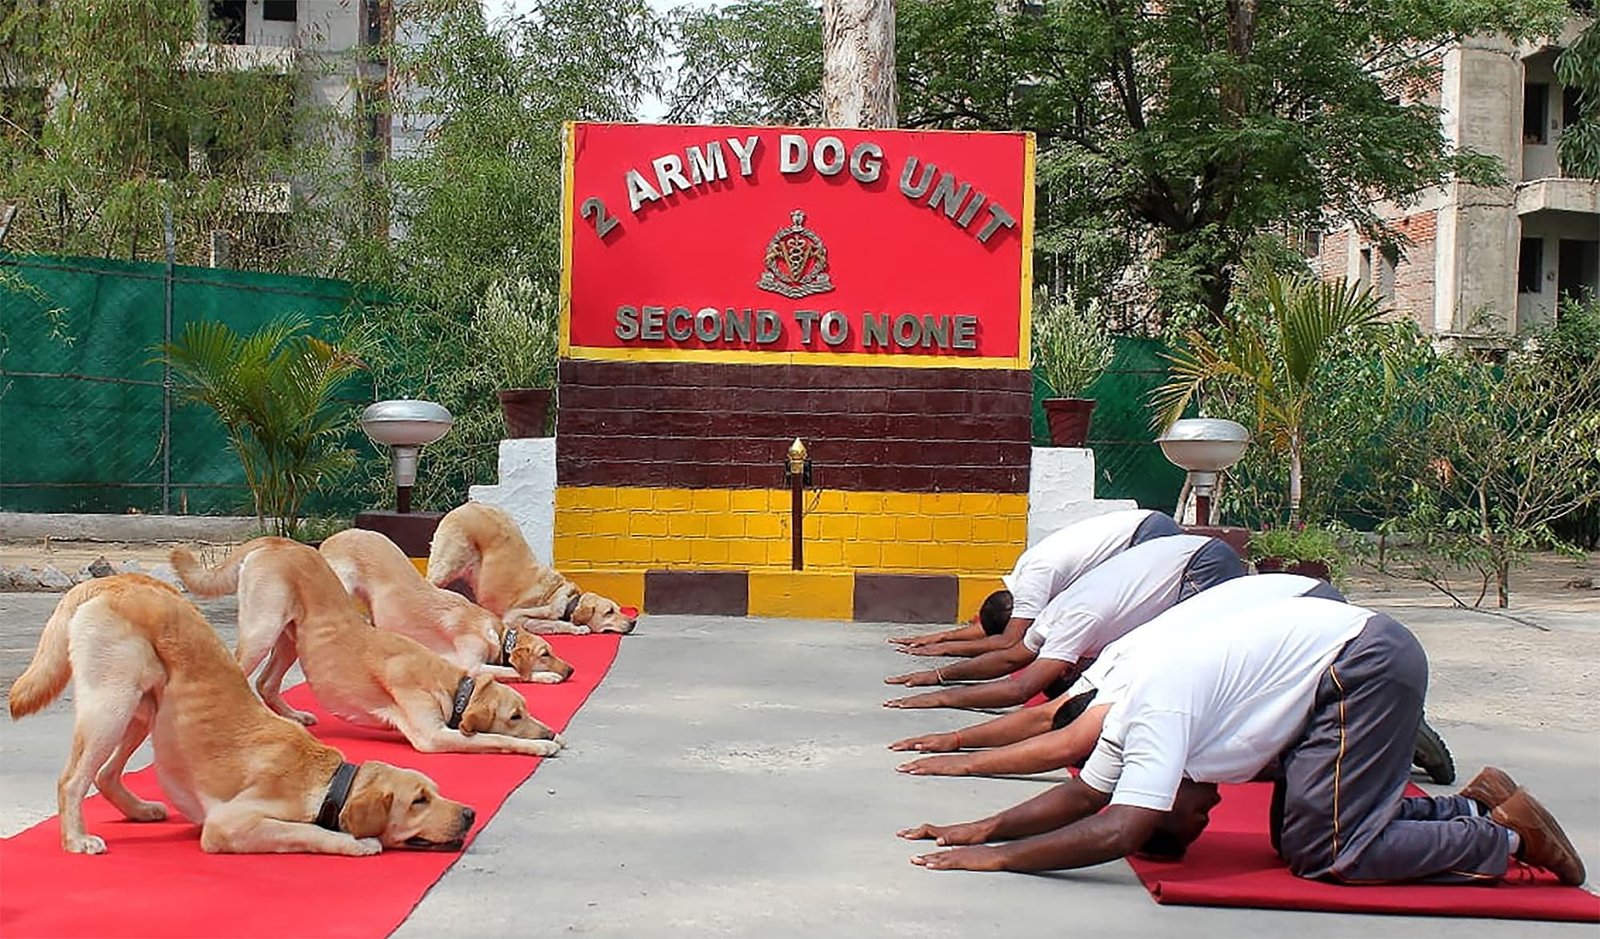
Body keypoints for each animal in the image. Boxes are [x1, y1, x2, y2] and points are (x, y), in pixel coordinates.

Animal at [6, 575, 470, 857]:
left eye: (435, 790)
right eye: (418, 800)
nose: (470, 814)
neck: (327, 784)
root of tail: (111, 580)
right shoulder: (229, 825)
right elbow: (307, 832)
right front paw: (356, 842)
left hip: (143, 709)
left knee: (103, 774)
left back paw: (137, 810)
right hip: (113, 702)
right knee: (72, 780)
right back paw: (75, 838)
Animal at [168, 540, 566, 761]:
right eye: (514, 716)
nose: (548, 734)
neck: (447, 681)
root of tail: (278, 541)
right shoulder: (435, 737)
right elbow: (495, 737)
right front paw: (539, 745)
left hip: (289, 639)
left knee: (266, 682)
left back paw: (291, 717)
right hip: (263, 629)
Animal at [318, 527, 576, 684]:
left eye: (552, 650)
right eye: (544, 654)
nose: (571, 670)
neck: (497, 632)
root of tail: (331, 538)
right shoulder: (473, 666)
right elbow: (513, 671)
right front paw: (546, 676)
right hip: (342, 585)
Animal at [432, 502, 643, 636]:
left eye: (618, 609)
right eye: (609, 612)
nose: (633, 622)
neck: (567, 599)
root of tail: (466, 505)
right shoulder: (515, 618)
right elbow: (555, 623)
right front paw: (577, 628)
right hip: (448, 564)